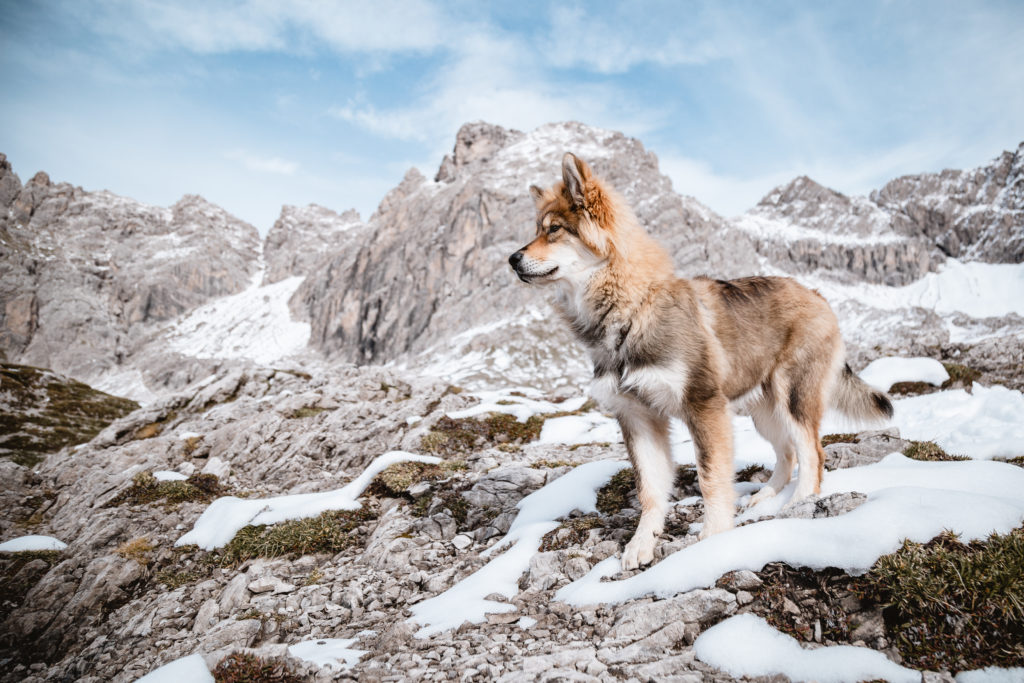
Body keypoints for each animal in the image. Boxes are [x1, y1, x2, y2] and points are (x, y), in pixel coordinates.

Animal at [507, 154, 892, 573]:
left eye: (554, 230)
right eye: (537, 229)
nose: (512, 259)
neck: (631, 312)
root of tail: (816, 293)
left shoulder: (703, 405)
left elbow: (710, 477)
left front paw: (714, 538)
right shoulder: (637, 418)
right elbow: (650, 489)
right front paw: (642, 543)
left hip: (793, 398)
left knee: (812, 452)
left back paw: (799, 503)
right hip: (763, 411)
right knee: (787, 452)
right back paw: (767, 496)